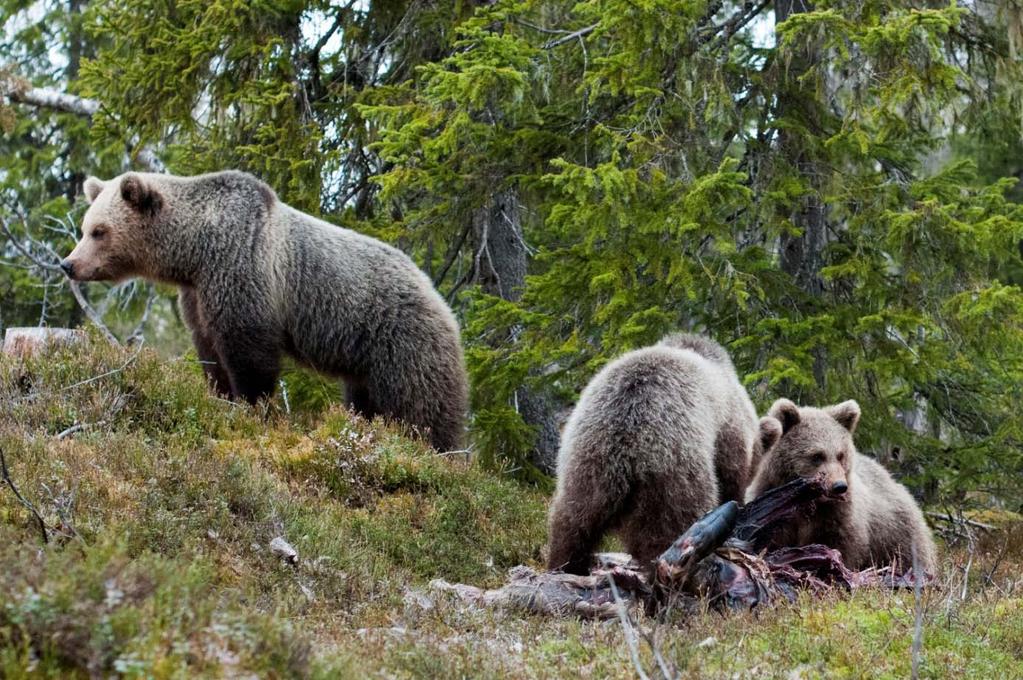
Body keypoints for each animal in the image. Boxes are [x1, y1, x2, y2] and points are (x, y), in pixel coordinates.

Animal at [65, 168, 472, 449]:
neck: (196, 251)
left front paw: (251, 403)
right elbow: (209, 348)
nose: (69, 264)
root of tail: (438, 297)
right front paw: (220, 394)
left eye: (99, 231)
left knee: (421, 406)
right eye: (85, 228)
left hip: (402, 340)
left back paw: (438, 450)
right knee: (367, 401)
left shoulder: (242, 267)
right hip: (366, 360)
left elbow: (248, 349)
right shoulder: (198, 295)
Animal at [548, 333, 777, 572]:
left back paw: (566, 565)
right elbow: (730, 478)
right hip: (671, 469)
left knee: (572, 523)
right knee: (671, 526)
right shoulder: (727, 434)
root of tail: (623, 444)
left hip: (585, 461)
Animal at [748, 398, 937, 572]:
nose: (839, 486)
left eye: (840, 455)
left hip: (896, 532)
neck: (808, 503)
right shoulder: (773, 506)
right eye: (817, 455)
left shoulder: (837, 516)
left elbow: (839, 546)